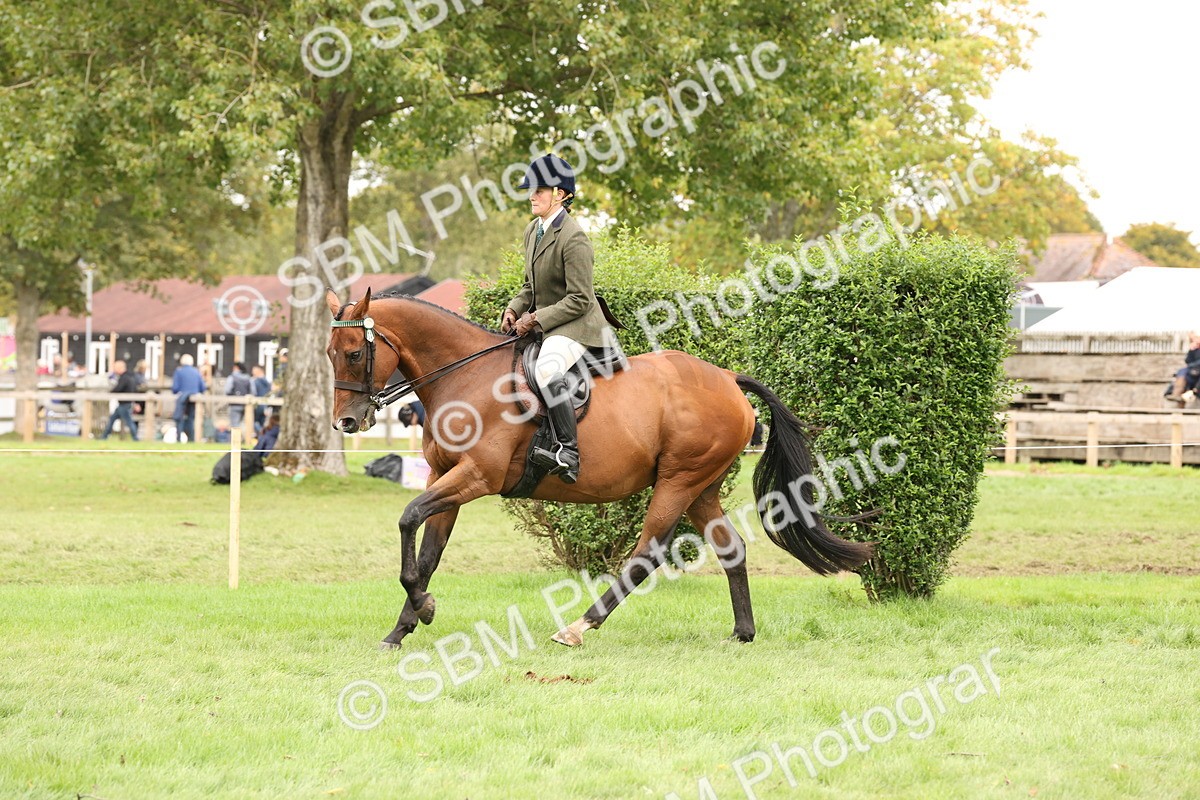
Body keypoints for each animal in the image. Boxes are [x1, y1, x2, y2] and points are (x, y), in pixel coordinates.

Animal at [324, 289, 873, 648]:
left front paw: (423, 609)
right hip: (701, 487)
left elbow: (408, 519)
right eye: (330, 354)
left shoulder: (475, 478)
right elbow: (428, 553)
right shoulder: (444, 477)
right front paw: (404, 626)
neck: (466, 377)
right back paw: (743, 633)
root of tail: (727, 378)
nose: (346, 422)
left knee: (646, 554)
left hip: (678, 481)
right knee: (730, 548)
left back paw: (578, 627)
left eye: (352, 353)